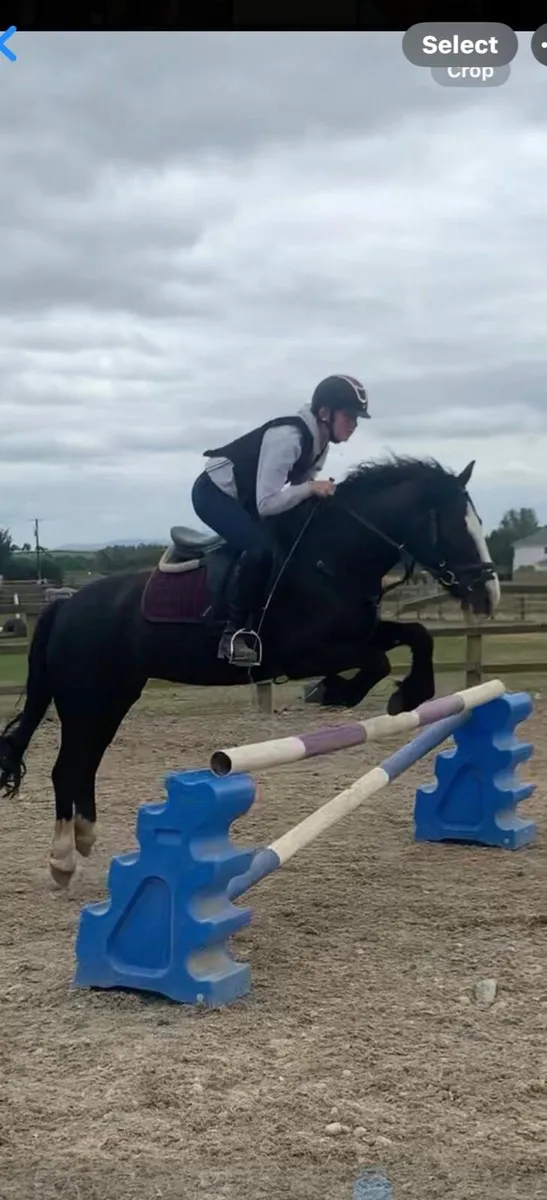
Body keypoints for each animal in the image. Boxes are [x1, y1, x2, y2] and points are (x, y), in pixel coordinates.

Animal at [0, 456, 500, 885]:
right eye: (455, 525)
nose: (488, 594)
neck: (330, 558)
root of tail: (67, 606)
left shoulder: (360, 632)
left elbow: (418, 635)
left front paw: (409, 693)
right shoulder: (308, 652)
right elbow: (378, 660)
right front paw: (335, 691)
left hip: (113, 698)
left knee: (85, 764)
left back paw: (84, 839)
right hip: (88, 699)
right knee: (66, 768)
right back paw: (63, 860)